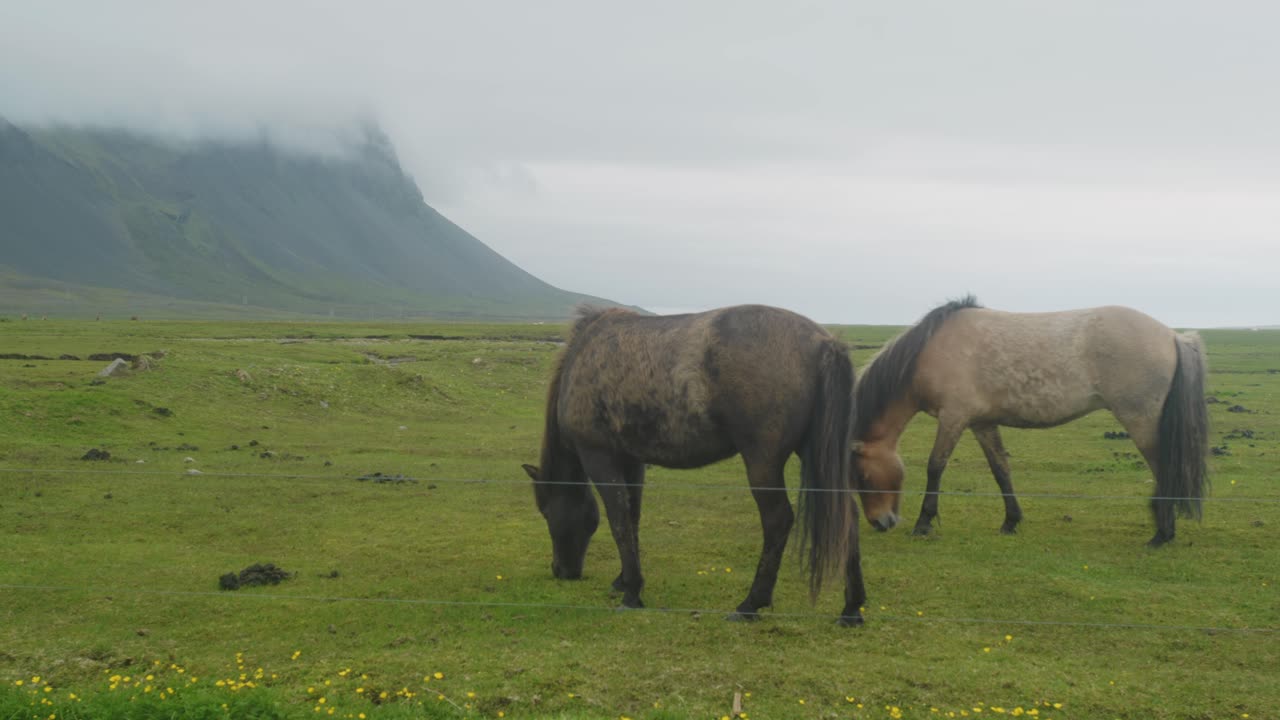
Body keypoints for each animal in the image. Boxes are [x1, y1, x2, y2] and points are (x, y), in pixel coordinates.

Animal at [522, 305, 866, 625]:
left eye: (546, 512)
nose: (560, 570)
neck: (584, 354)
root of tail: (823, 342)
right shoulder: (632, 460)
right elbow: (632, 518)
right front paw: (623, 581)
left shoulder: (599, 457)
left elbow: (619, 520)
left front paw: (632, 592)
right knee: (847, 515)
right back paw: (852, 608)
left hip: (762, 462)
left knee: (778, 520)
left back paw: (750, 604)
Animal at [851, 296, 1209, 547]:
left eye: (863, 476)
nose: (880, 523)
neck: (931, 351)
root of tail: (1173, 337)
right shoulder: (981, 423)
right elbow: (1001, 470)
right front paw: (1011, 521)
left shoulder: (954, 418)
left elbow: (935, 467)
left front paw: (923, 523)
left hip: (1140, 420)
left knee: (1163, 468)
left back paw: (1162, 534)